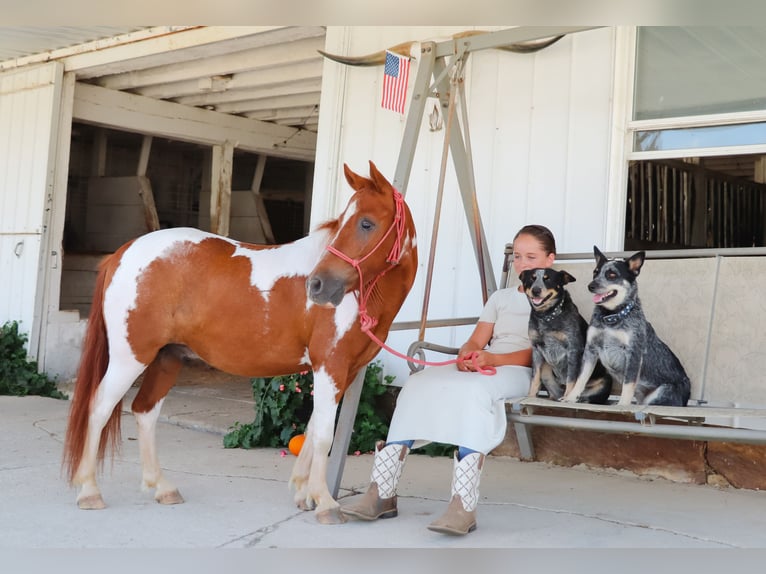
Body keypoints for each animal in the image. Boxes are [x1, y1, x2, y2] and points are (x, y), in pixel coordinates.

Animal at [62, 161, 418, 524]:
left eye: (366, 223)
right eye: (347, 221)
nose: (317, 286)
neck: (363, 294)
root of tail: (121, 253)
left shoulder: (343, 371)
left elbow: (311, 429)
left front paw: (304, 494)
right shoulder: (329, 366)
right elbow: (322, 435)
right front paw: (326, 503)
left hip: (166, 358)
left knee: (145, 411)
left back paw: (162, 488)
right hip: (130, 357)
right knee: (99, 407)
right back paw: (89, 491)